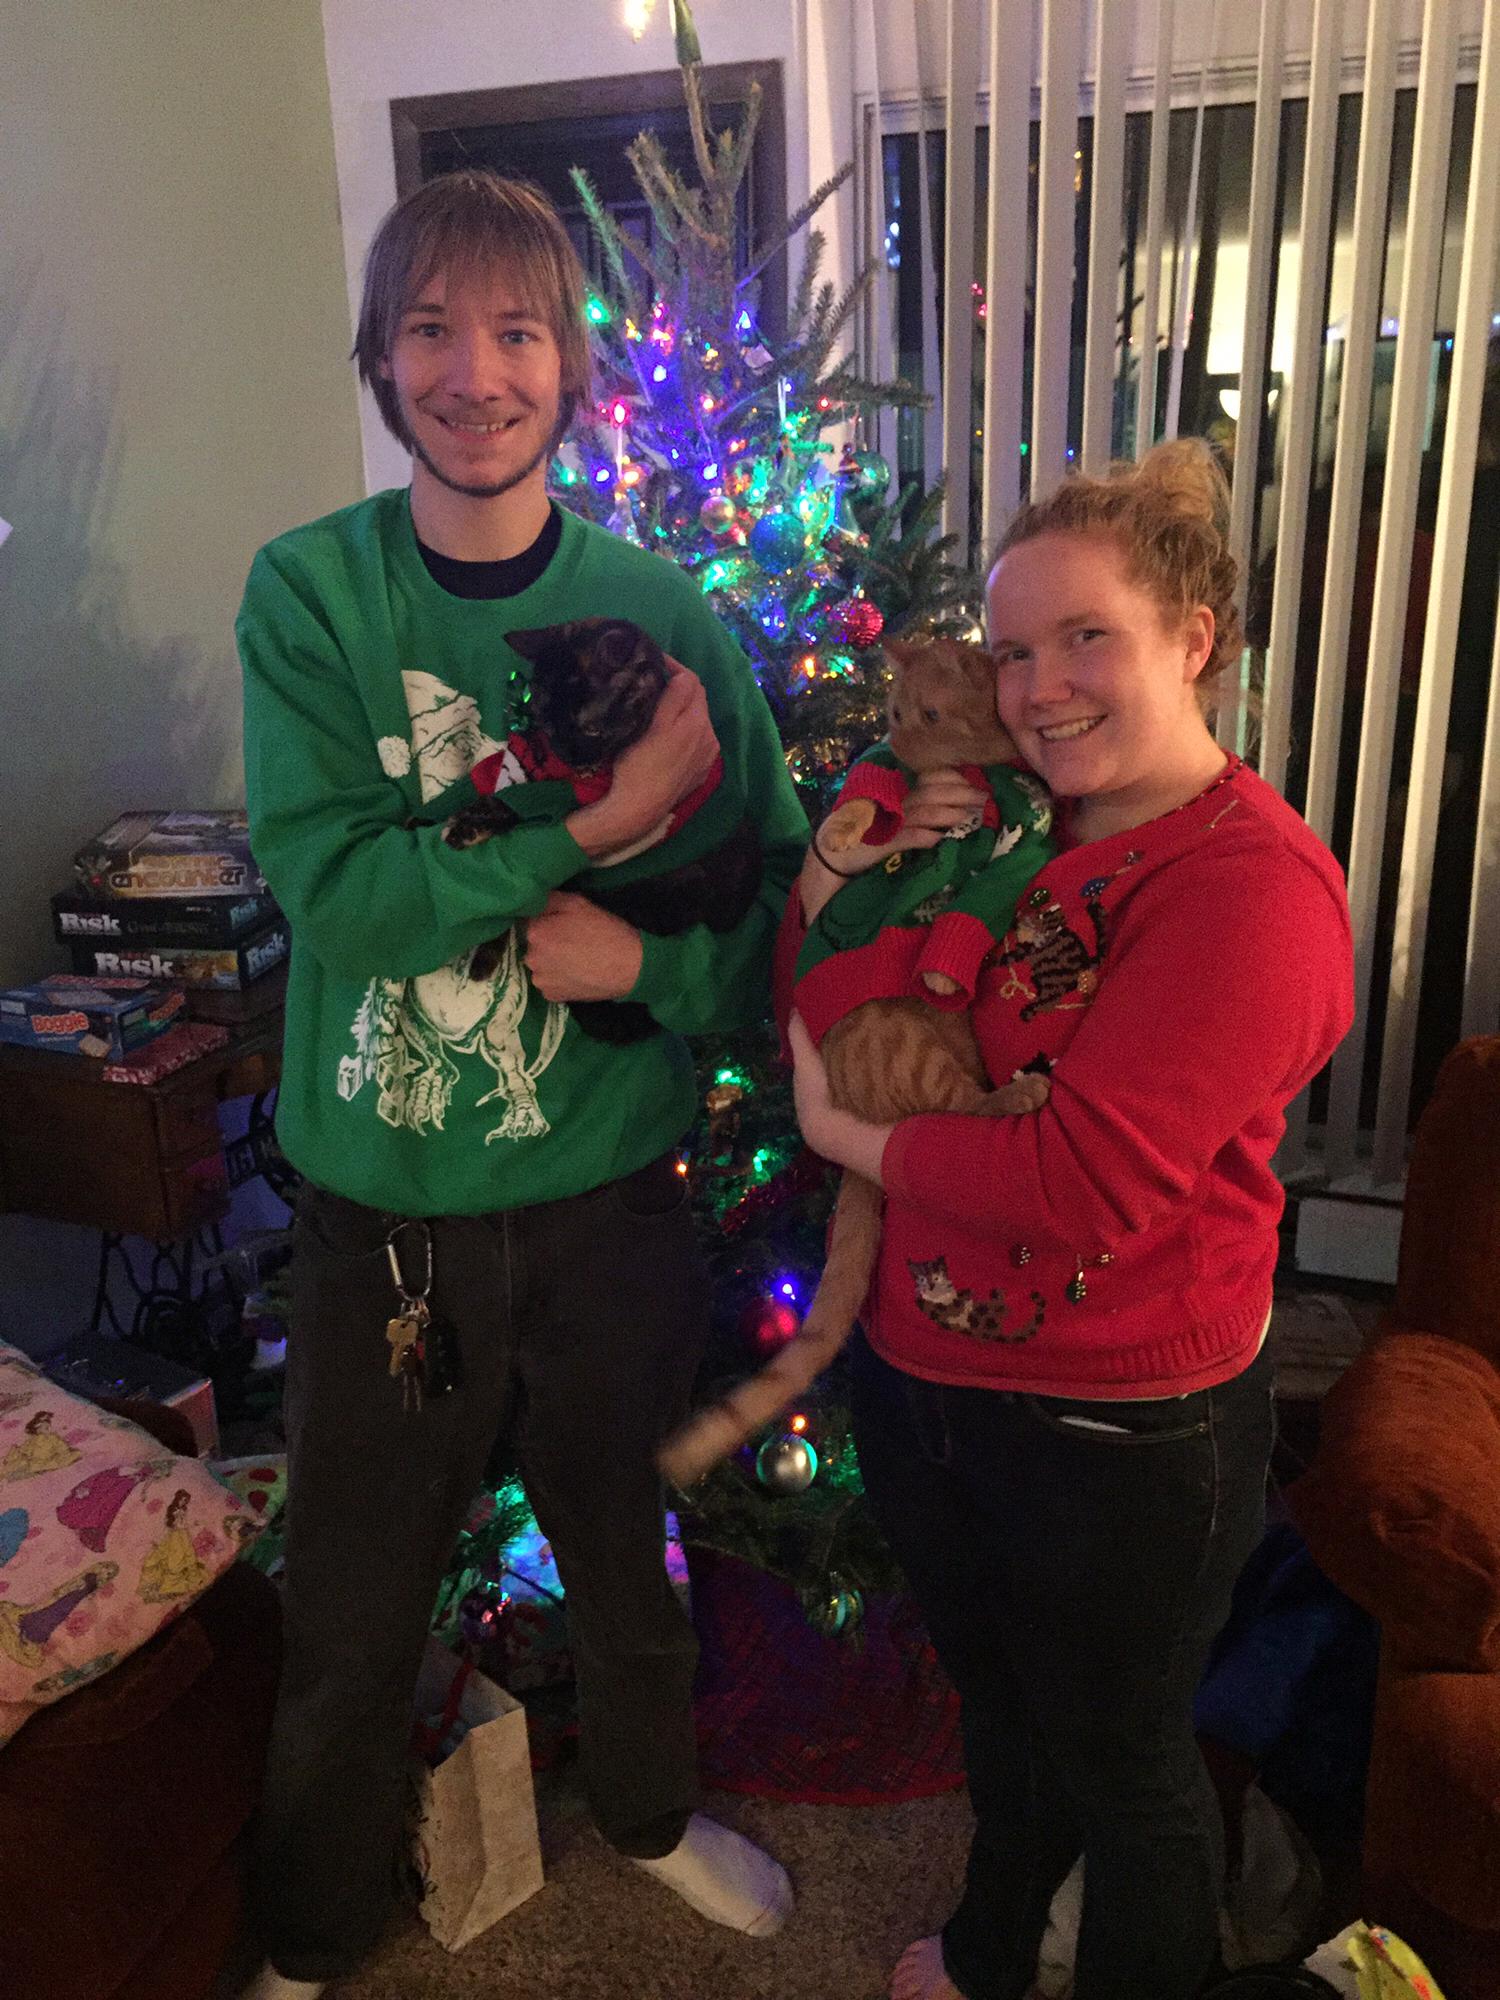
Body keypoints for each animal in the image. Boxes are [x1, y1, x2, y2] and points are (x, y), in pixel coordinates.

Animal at [441, 617, 762, 1042]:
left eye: (592, 729)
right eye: (546, 720)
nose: (570, 756)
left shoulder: (565, 798)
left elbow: (511, 804)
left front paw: (466, 825)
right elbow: (483, 783)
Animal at [659, 638, 1053, 1486]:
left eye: (928, 713)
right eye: (893, 713)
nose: (900, 743)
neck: (976, 770)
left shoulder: (1029, 827)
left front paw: (947, 959)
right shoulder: (875, 779)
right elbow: (859, 809)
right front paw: (860, 834)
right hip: (907, 1043)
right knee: (957, 1110)